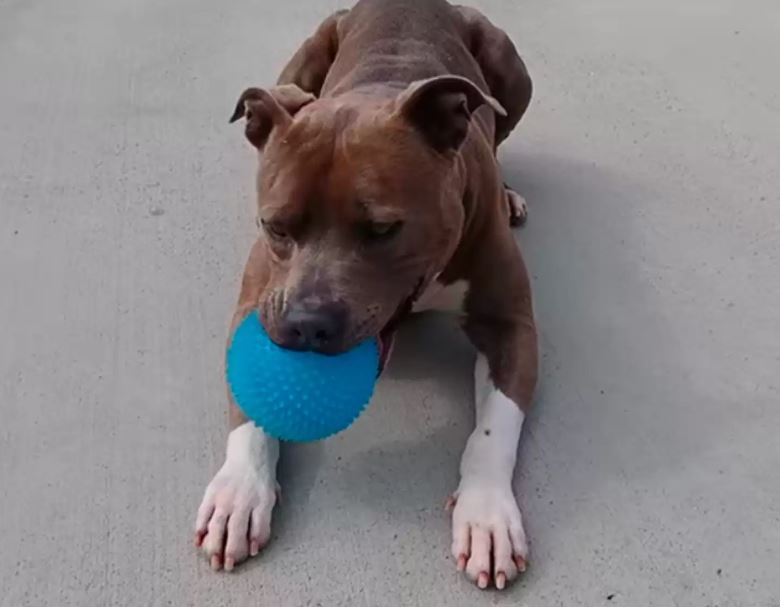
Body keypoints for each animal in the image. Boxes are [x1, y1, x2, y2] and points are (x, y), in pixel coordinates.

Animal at [193, 0, 536, 592]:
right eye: (275, 227)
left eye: (382, 230)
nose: (306, 324)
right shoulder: (259, 303)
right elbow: (250, 405)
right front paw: (238, 489)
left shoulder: (510, 324)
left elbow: (494, 427)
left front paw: (487, 514)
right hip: (299, 68)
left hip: (510, 68)